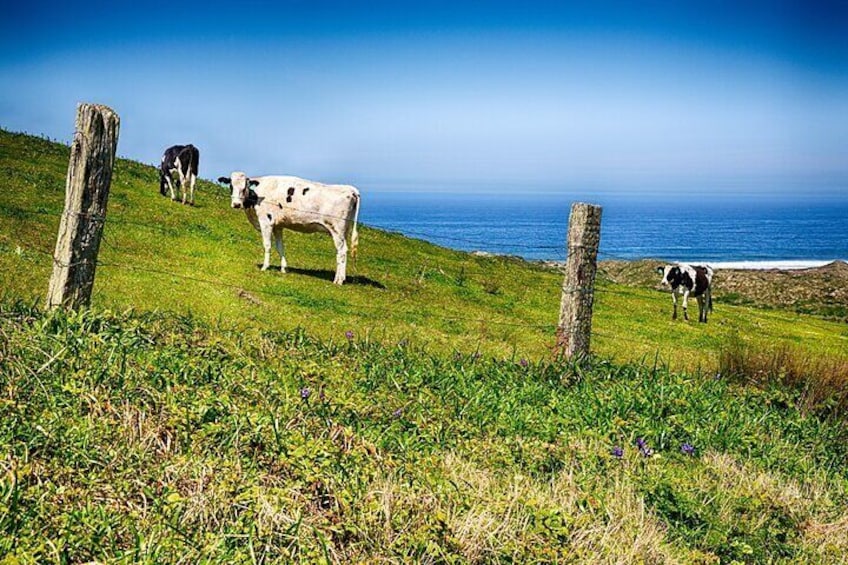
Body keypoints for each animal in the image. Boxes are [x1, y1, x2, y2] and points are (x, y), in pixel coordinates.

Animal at [217, 171, 360, 286]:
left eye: (244, 187)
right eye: (231, 186)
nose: (236, 204)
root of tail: (351, 189)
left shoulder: (266, 221)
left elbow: (267, 245)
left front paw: (265, 267)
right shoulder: (278, 225)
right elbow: (280, 247)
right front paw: (284, 269)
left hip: (336, 229)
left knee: (342, 251)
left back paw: (338, 280)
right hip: (344, 230)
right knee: (342, 251)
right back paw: (342, 278)